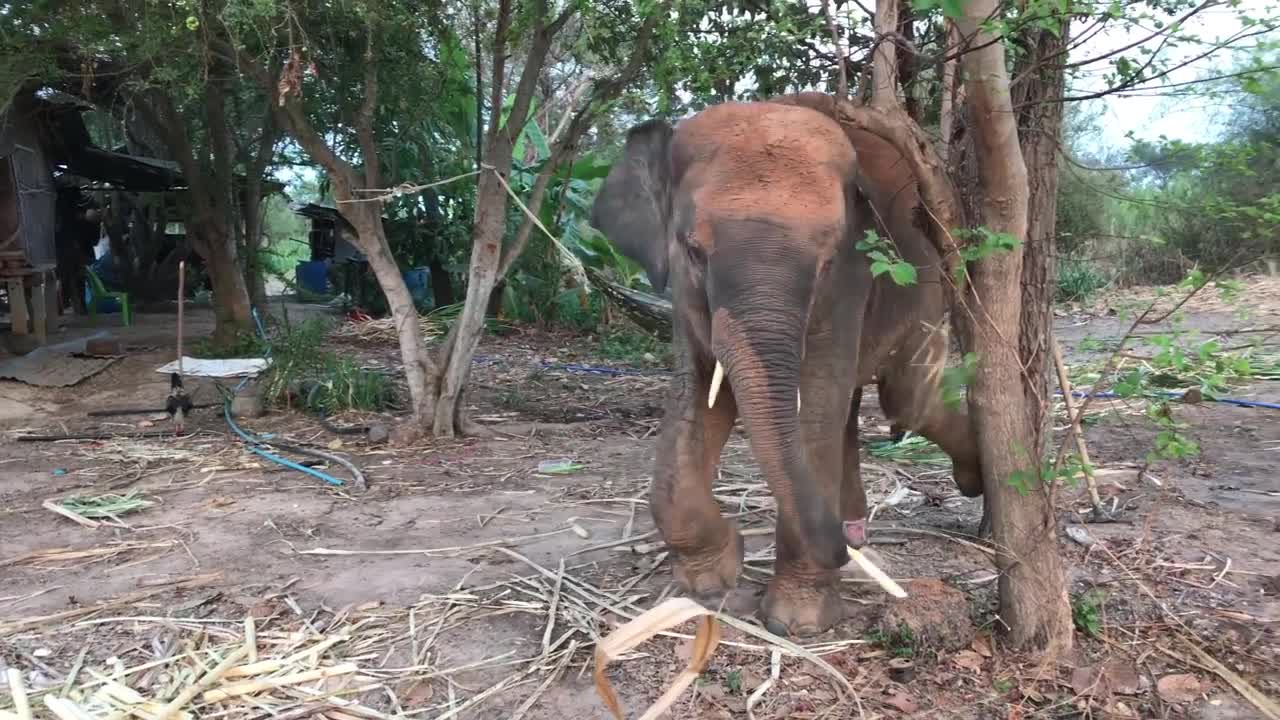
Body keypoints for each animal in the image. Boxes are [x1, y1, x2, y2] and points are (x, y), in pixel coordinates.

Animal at [588, 92, 983, 637]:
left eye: (827, 260)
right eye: (692, 249)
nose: (837, 550)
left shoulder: (851, 281)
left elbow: (815, 400)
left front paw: (798, 622)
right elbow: (702, 394)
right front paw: (710, 584)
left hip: (933, 284)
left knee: (904, 399)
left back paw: (968, 483)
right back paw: (857, 528)